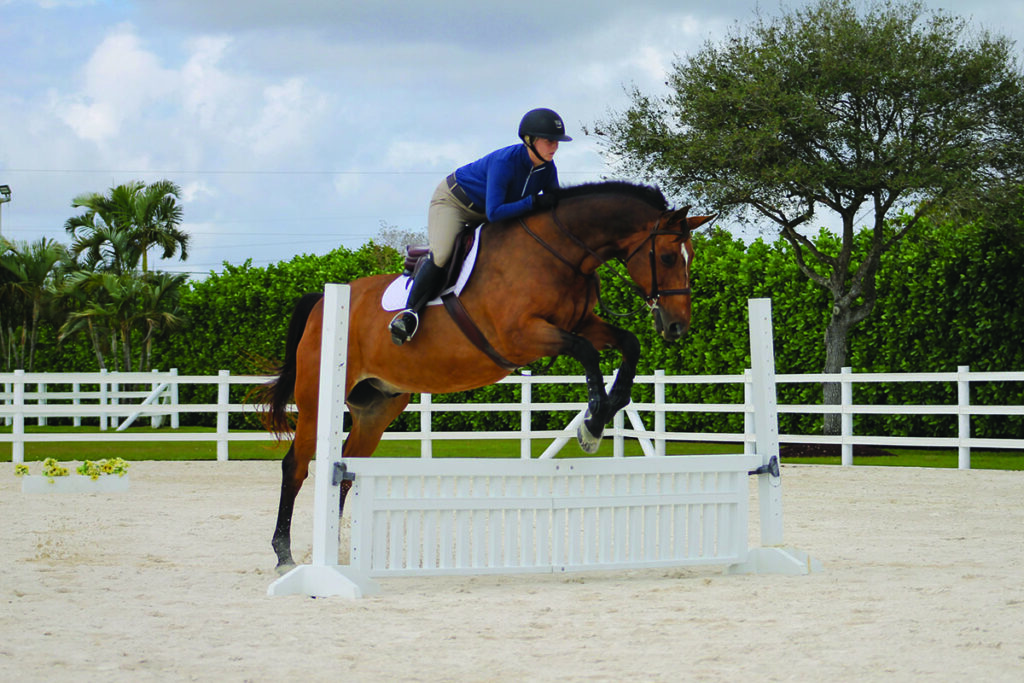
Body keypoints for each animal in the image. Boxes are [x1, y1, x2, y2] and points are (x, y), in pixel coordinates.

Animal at [260, 181, 716, 573]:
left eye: (690, 256)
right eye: (668, 257)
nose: (678, 326)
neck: (561, 251)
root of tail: (322, 301)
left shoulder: (582, 323)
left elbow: (629, 343)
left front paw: (607, 411)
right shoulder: (522, 337)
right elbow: (586, 353)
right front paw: (592, 422)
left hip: (377, 407)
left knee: (346, 468)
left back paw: (334, 549)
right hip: (317, 401)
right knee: (295, 466)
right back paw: (284, 555)